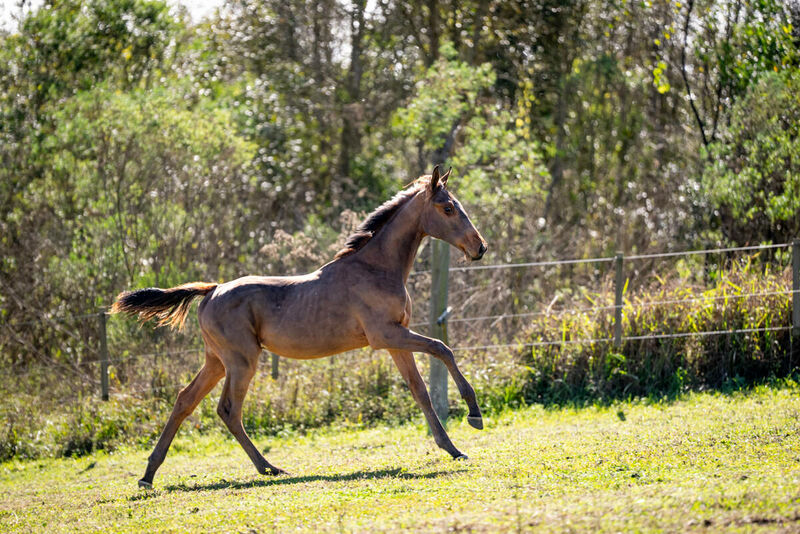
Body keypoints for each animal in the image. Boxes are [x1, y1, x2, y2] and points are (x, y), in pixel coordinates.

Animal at [111, 168, 488, 490]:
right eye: (448, 208)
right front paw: (474, 414)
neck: (376, 268)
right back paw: (268, 468)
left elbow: (419, 390)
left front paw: (452, 448)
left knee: (185, 400)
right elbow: (442, 347)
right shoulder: (386, 336)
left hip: (216, 361)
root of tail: (211, 290)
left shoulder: (397, 340)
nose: (480, 247)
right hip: (242, 361)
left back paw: (149, 475)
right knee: (229, 410)